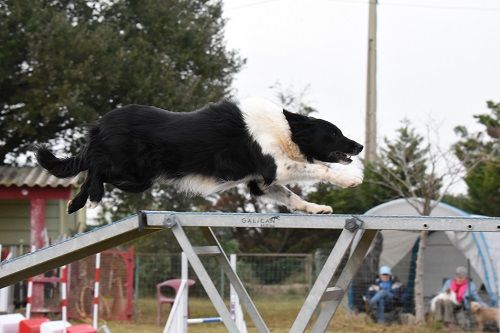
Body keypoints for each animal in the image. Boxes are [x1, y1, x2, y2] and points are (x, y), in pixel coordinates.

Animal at [35, 97, 364, 214]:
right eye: (334, 133)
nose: (359, 146)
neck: (287, 130)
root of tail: (100, 124)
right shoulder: (276, 167)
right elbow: (321, 169)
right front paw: (351, 179)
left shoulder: (262, 182)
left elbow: (291, 197)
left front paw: (314, 208)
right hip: (131, 171)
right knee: (95, 168)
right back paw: (92, 197)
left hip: (138, 178)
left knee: (91, 169)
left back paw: (76, 203)